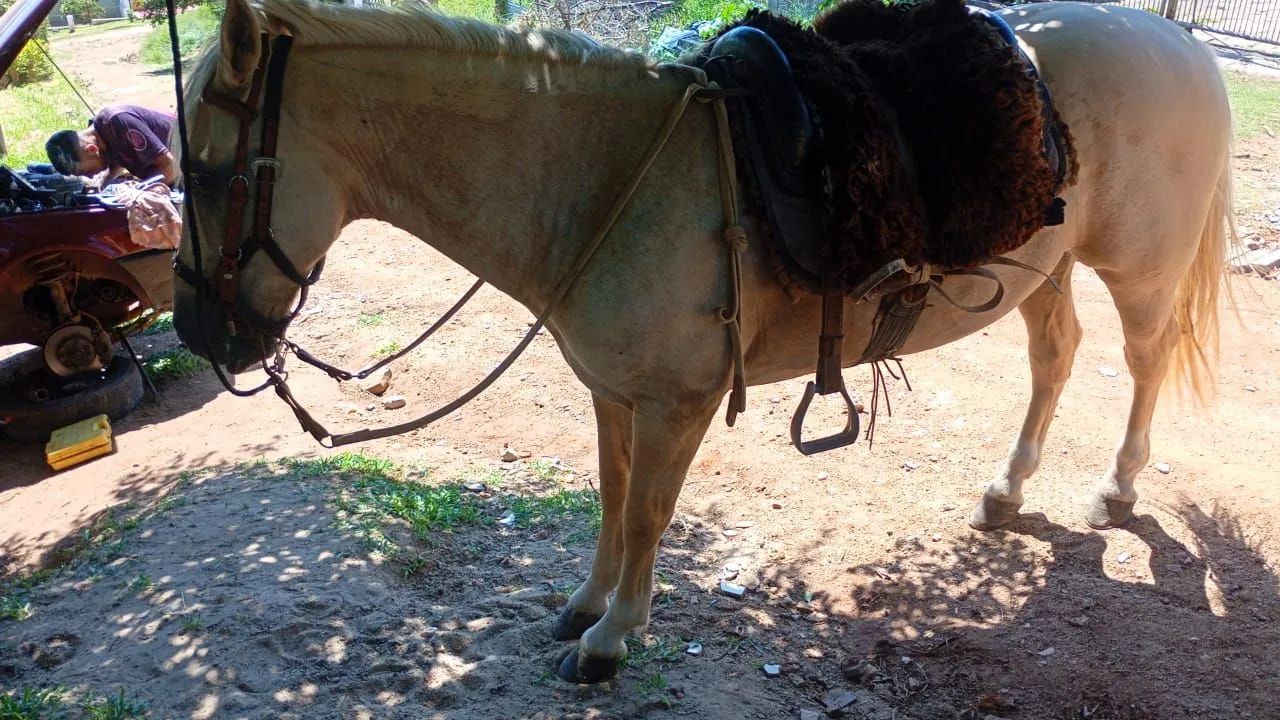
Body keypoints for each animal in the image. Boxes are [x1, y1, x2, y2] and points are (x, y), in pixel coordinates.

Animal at [172, 0, 1235, 683]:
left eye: (213, 174)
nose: (197, 332)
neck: (604, 178)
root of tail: (1178, 42)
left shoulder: (675, 405)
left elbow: (648, 515)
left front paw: (610, 642)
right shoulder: (612, 393)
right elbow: (610, 499)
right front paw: (585, 604)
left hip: (1139, 272)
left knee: (1140, 364)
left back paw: (1117, 487)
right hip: (1043, 272)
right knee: (1056, 355)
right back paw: (1007, 492)